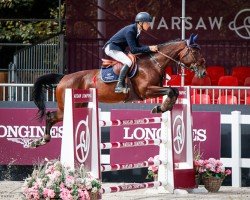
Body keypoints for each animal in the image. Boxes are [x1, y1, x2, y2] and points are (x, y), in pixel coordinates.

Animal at [31, 34, 206, 147]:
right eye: (194, 52)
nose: (203, 73)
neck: (153, 63)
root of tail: (64, 77)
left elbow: (174, 91)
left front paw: (162, 107)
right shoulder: (146, 91)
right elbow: (170, 91)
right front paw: (161, 107)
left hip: (79, 105)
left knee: (53, 117)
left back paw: (42, 140)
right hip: (67, 106)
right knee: (50, 116)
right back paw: (42, 140)